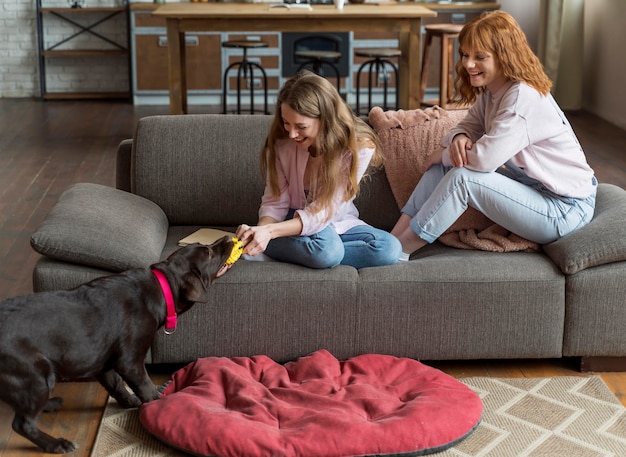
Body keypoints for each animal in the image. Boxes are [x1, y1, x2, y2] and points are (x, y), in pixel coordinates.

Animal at [0, 237, 236, 454]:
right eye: (208, 253)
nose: (228, 238)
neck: (162, 288)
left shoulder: (103, 361)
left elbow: (116, 385)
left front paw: (131, 401)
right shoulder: (129, 362)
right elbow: (146, 387)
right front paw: (157, 406)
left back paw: (50, 405)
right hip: (33, 375)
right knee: (22, 424)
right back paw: (56, 444)